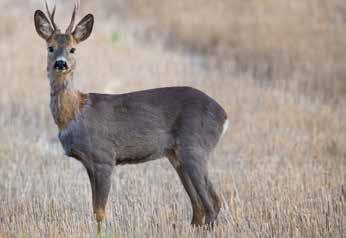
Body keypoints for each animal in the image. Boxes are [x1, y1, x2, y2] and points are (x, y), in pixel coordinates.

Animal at [34, 0, 230, 234]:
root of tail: (223, 115)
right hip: (177, 155)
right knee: (198, 206)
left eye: (73, 49)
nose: (61, 63)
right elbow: (94, 208)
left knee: (212, 202)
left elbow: (100, 211)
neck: (75, 113)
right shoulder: (90, 162)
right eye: (50, 47)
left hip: (195, 147)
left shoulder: (104, 156)